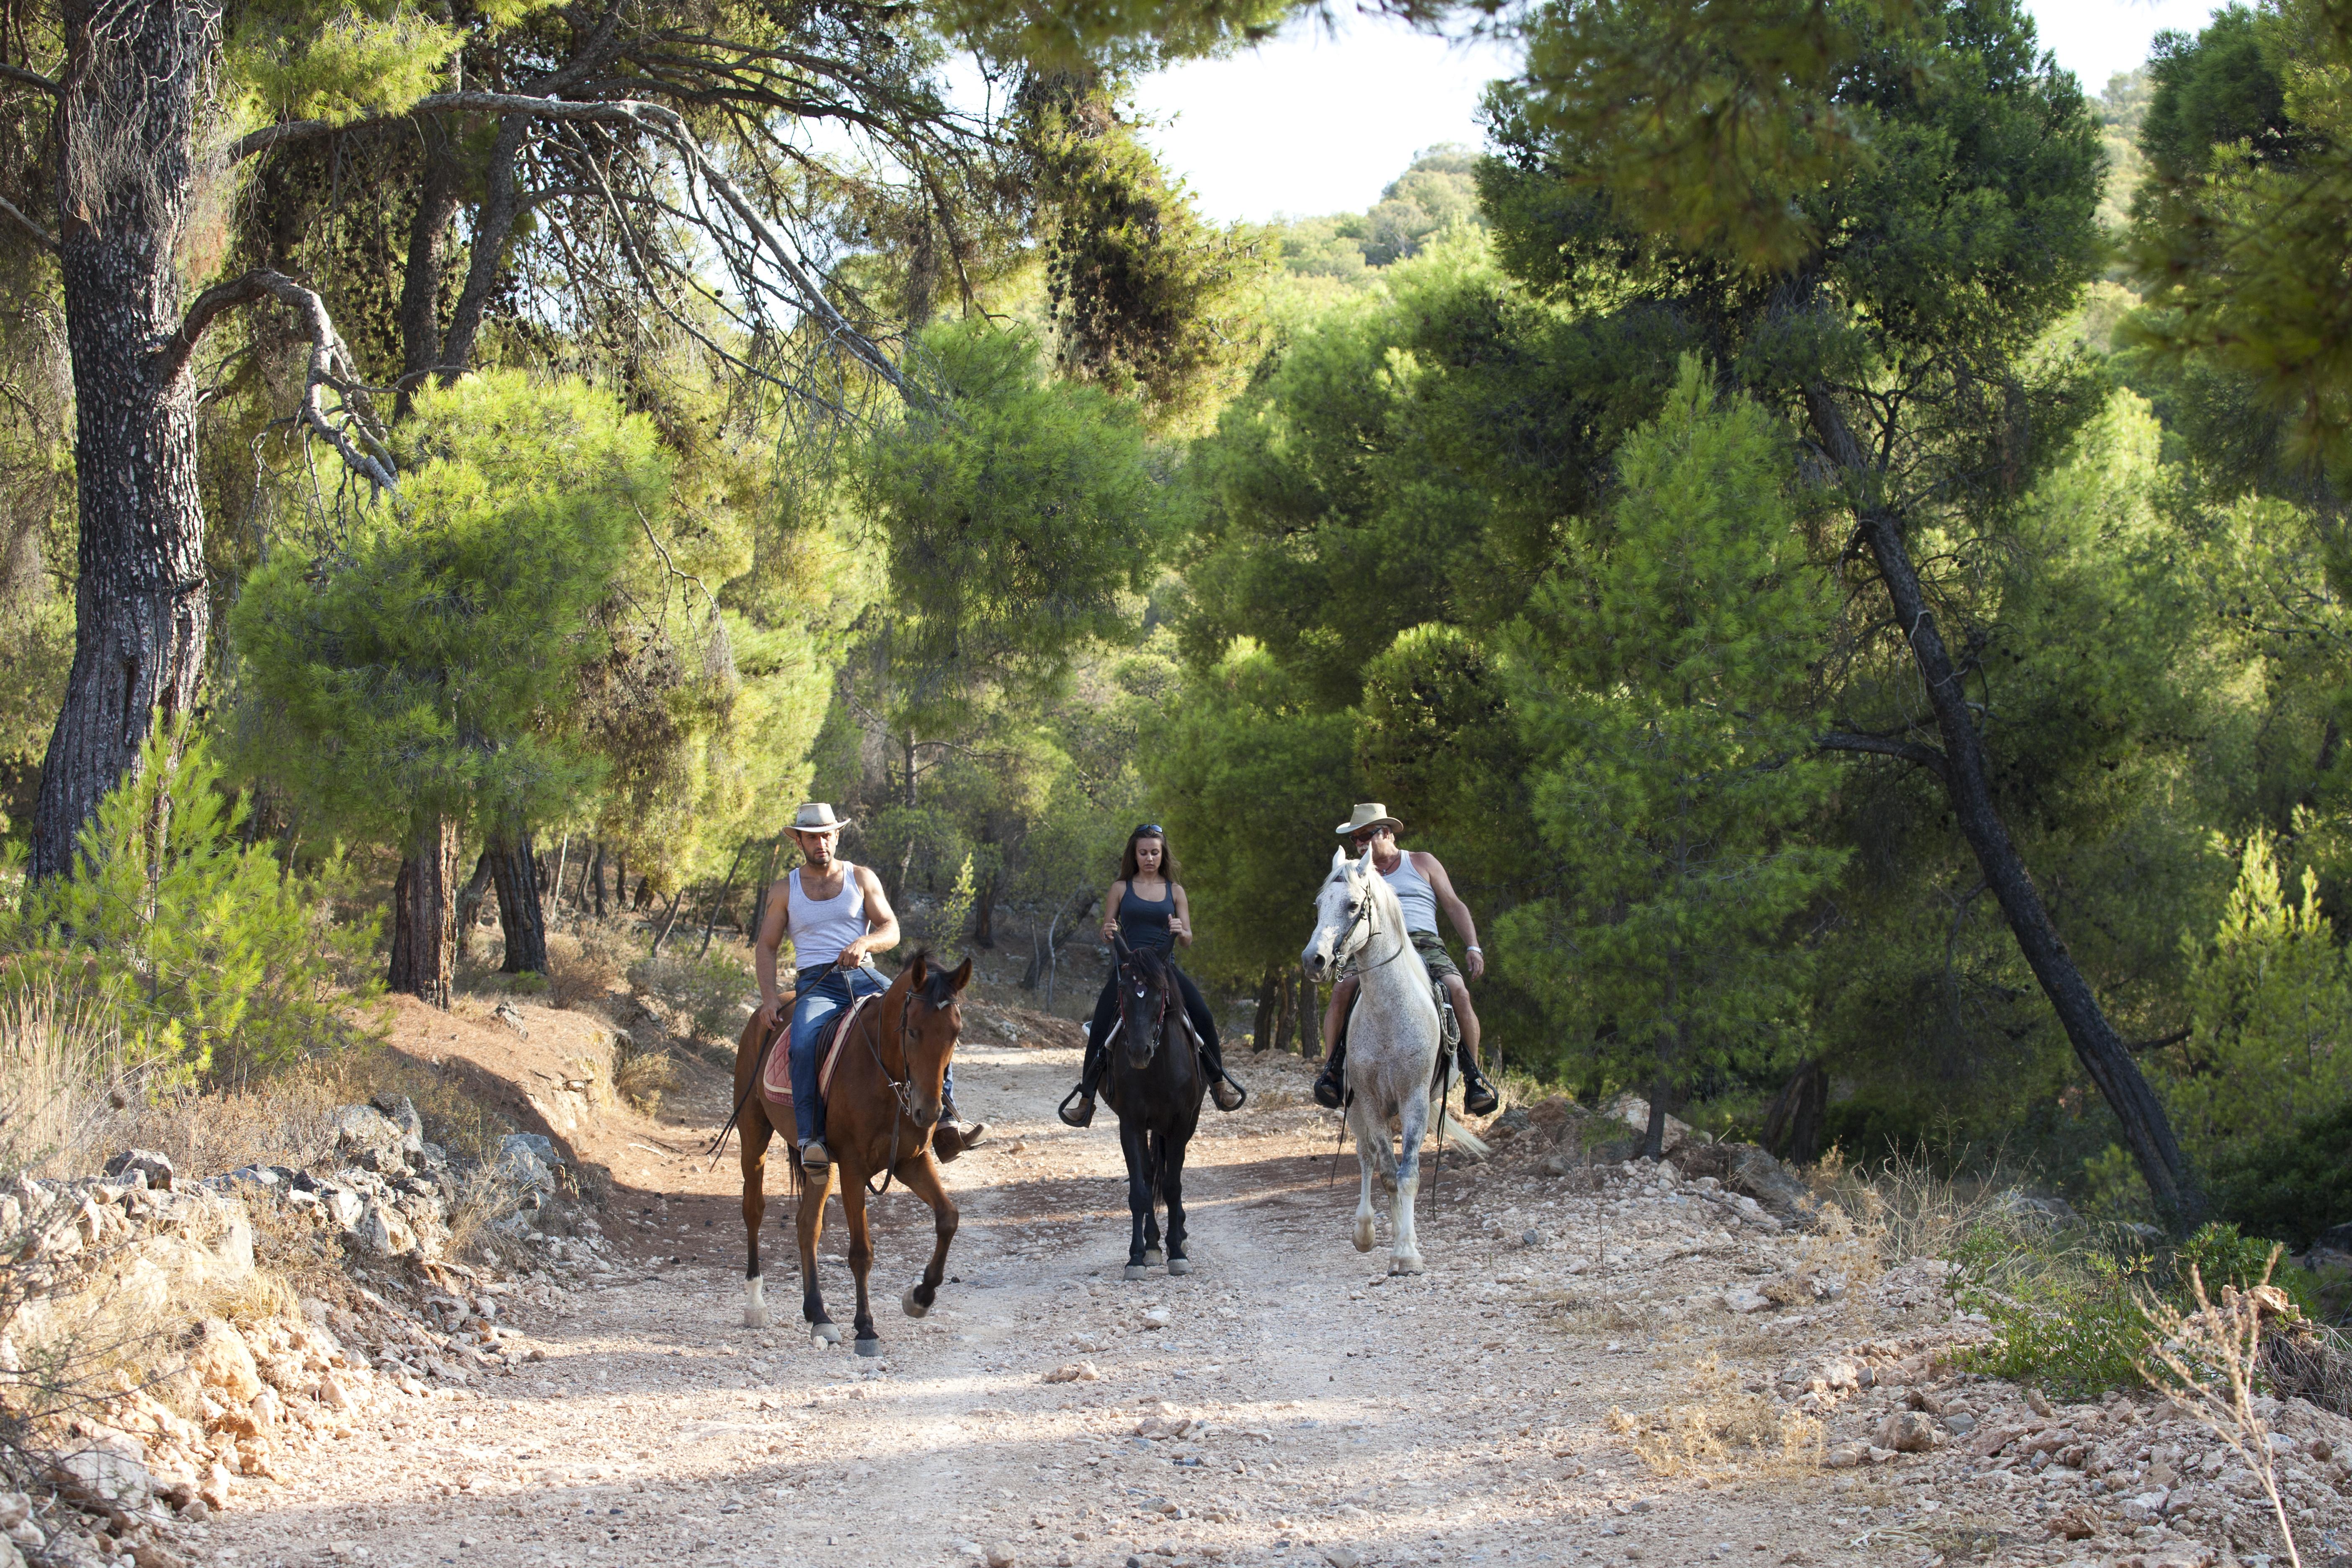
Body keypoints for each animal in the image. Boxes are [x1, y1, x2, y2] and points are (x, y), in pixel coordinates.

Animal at [724, 949, 964, 1354]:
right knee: (753, 1210)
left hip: (821, 1165)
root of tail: (767, 1013)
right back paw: (756, 1304)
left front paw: (920, 1297)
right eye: (912, 1030)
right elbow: (861, 1252)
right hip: (754, 1135)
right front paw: (866, 1328)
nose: (929, 1111)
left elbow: (948, 1218)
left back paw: (819, 1315)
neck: (884, 1076)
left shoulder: (909, 1162)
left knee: (807, 1225)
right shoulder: (854, 1168)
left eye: (956, 1033)